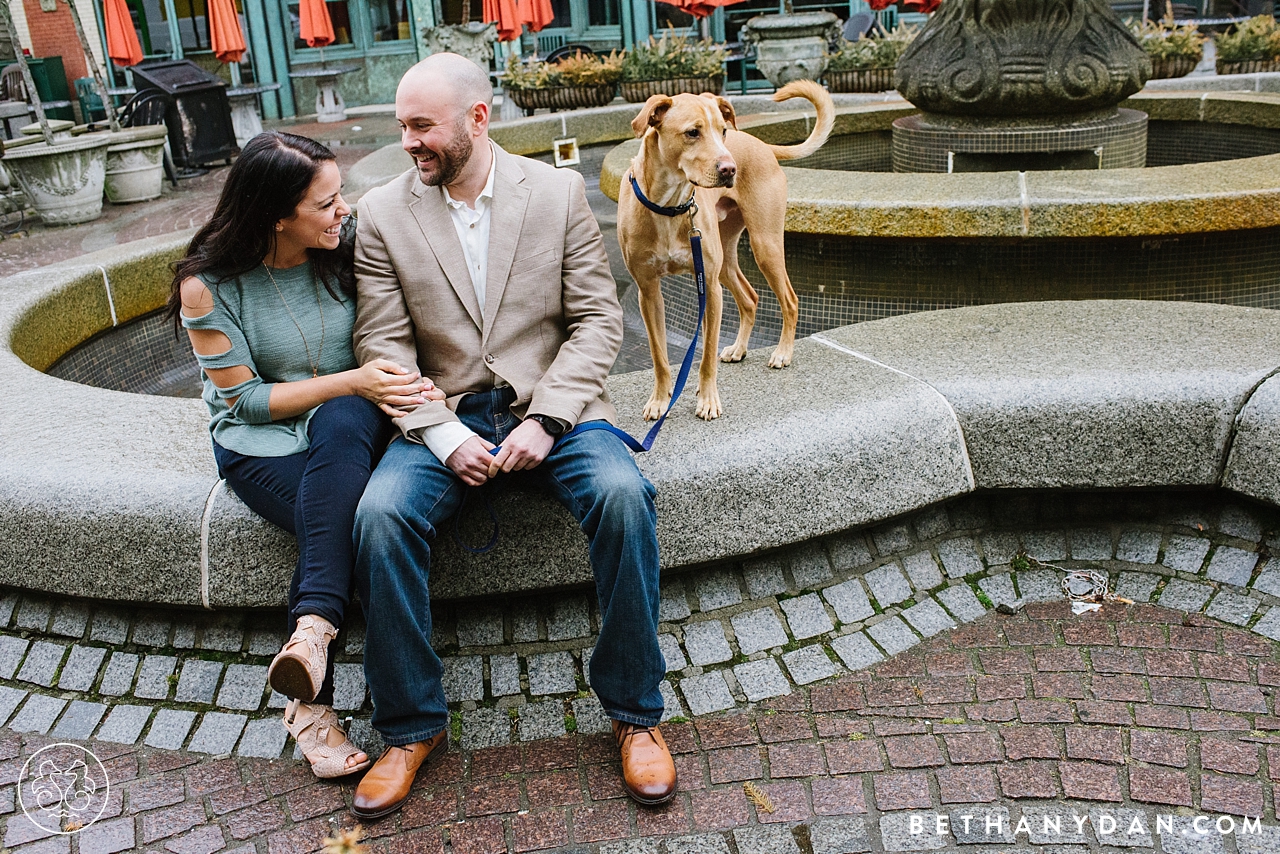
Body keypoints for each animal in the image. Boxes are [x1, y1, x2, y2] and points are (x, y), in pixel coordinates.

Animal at [616, 81, 834, 422]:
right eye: (693, 132)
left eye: (723, 131)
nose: (730, 168)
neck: (669, 207)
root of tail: (762, 144)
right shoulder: (648, 291)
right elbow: (659, 355)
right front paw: (661, 400)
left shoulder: (710, 288)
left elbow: (705, 355)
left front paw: (707, 400)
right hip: (728, 261)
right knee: (750, 298)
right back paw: (740, 349)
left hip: (764, 245)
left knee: (789, 299)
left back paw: (783, 353)